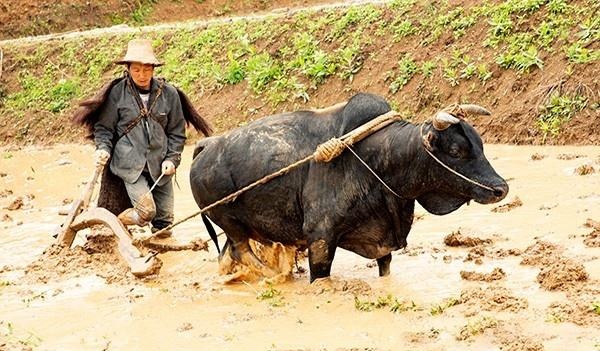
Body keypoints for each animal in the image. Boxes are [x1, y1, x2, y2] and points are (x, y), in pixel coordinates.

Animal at [190, 93, 508, 284]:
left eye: (480, 144)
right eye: (455, 150)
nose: (500, 189)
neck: (377, 160)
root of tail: (206, 146)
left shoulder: (382, 243)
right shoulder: (320, 239)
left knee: (227, 256)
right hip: (230, 223)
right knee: (241, 252)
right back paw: (278, 278)